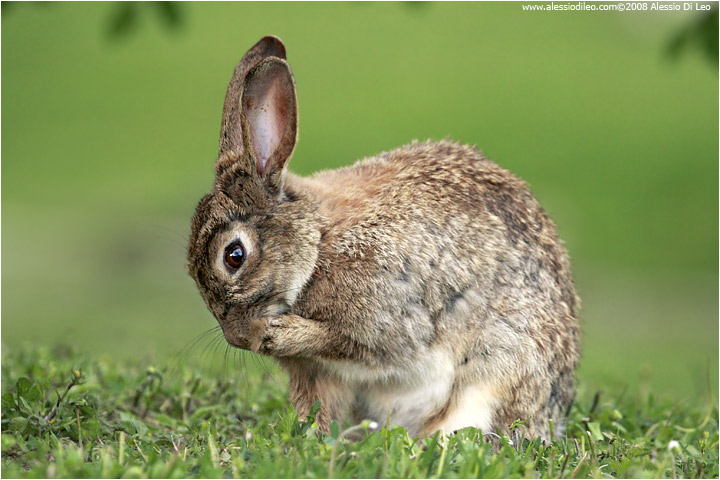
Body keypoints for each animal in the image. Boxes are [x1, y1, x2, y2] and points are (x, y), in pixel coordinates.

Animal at [186, 36, 580, 442]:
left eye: (234, 256)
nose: (239, 338)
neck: (318, 247)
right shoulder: (316, 377)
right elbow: (319, 411)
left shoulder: (387, 315)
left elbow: (358, 344)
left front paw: (281, 333)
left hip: (497, 375)